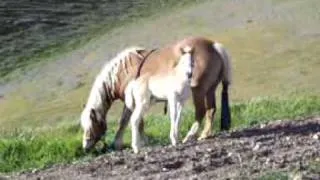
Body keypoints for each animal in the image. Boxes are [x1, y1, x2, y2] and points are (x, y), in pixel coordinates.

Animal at [79, 36, 230, 150]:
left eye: (91, 124)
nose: (85, 146)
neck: (123, 72)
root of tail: (213, 46)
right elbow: (126, 121)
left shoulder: (132, 102)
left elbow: (131, 121)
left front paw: (140, 142)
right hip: (210, 90)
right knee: (211, 110)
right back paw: (205, 134)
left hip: (199, 91)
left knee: (201, 111)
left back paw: (190, 136)